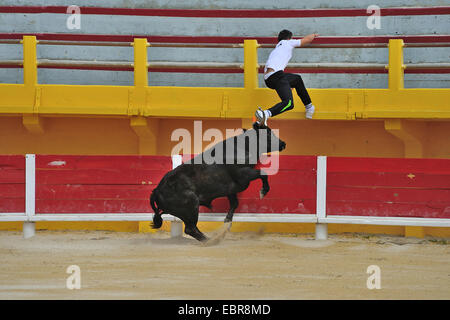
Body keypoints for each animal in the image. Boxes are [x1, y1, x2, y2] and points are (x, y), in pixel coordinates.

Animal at [149, 123, 286, 242]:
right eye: (268, 133)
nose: (283, 144)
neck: (243, 147)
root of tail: (157, 190)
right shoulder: (243, 175)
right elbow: (263, 173)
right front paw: (263, 191)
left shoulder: (231, 189)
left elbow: (235, 203)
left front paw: (227, 221)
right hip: (192, 205)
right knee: (190, 228)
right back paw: (210, 241)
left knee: (191, 228)